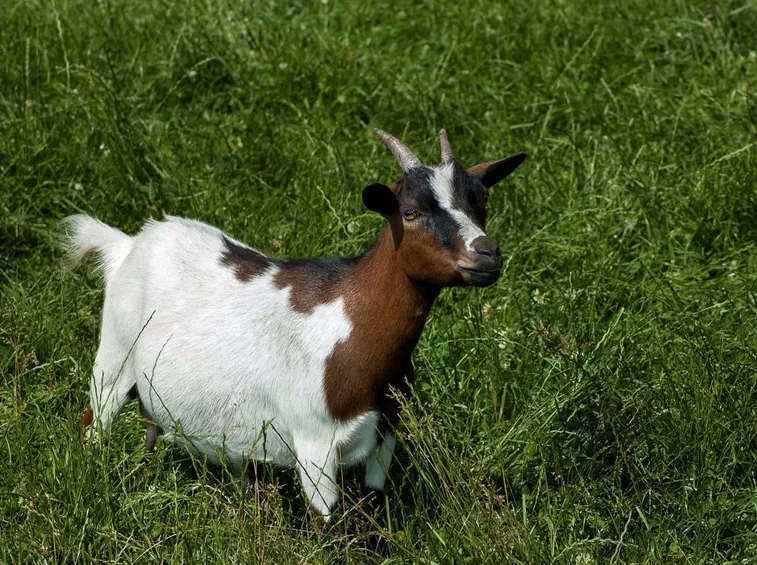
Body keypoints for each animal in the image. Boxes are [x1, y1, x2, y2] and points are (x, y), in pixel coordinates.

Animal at [65, 129, 526, 520]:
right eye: (410, 211)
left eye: (481, 202)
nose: (487, 253)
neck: (352, 327)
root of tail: (127, 245)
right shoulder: (314, 444)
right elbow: (328, 523)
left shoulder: (385, 436)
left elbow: (373, 508)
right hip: (115, 353)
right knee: (93, 421)